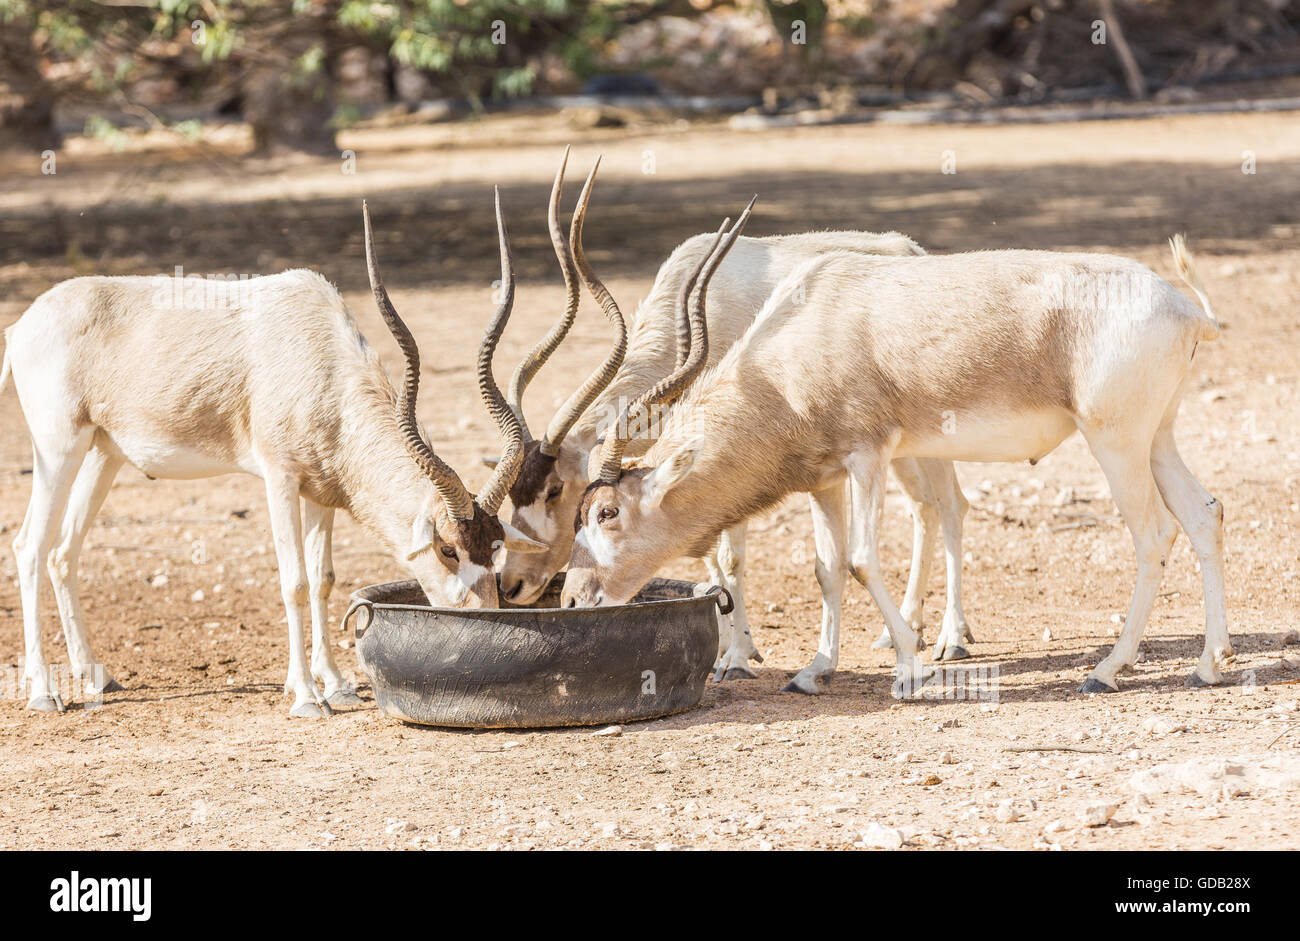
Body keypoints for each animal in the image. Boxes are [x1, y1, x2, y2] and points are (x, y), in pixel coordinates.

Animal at [2, 192, 540, 722]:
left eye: (495, 547)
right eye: (447, 549)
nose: (482, 620)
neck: (320, 355)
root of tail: (24, 326)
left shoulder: (321, 491)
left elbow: (323, 580)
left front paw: (337, 685)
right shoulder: (279, 478)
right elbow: (295, 582)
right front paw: (306, 695)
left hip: (103, 455)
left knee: (62, 552)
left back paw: (96, 676)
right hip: (58, 448)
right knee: (30, 546)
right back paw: (43, 691)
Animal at [496, 148, 977, 675]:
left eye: (556, 489)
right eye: (515, 493)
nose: (511, 584)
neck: (697, 307)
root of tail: (909, 250)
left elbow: (729, 557)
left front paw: (738, 657)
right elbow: (711, 558)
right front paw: (729, 648)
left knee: (950, 506)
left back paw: (952, 637)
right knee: (923, 506)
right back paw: (901, 631)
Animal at [566, 231, 1227, 696]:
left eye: (606, 513)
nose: (573, 600)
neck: (795, 345)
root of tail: (1187, 309)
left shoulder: (868, 458)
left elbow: (860, 559)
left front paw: (911, 668)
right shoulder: (825, 479)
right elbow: (827, 569)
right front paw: (814, 671)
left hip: (1115, 442)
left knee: (1153, 533)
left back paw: (1107, 669)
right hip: (1157, 438)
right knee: (1203, 513)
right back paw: (1209, 663)